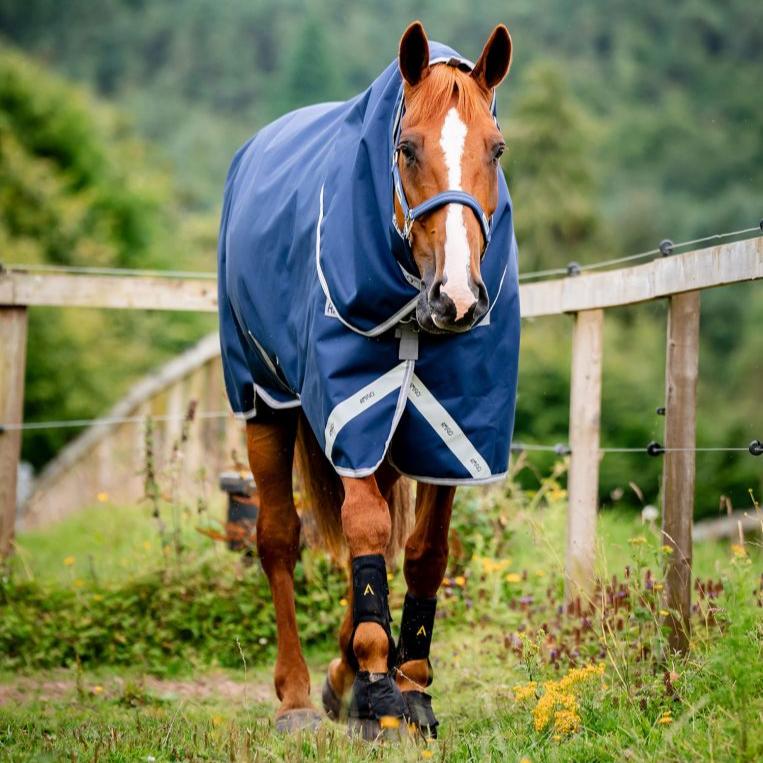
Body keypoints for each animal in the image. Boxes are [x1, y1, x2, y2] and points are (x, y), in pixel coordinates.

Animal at [217, 21, 519, 738]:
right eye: (406, 148)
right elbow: (362, 530)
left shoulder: (453, 429)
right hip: (265, 402)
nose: (458, 297)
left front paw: (409, 681)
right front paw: (379, 685)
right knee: (278, 538)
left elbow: (424, 550)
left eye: (496, 149)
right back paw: (298, 694)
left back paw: (339, 675)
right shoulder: (350, 409)